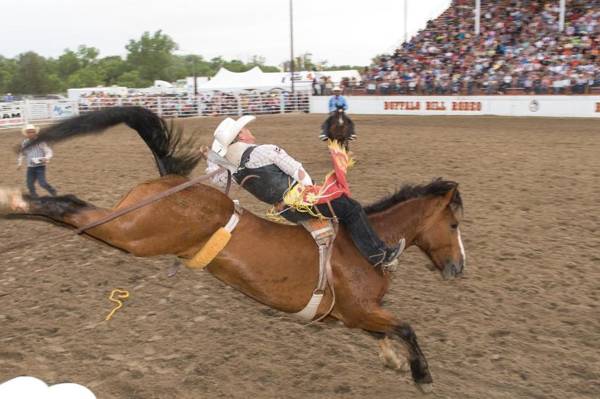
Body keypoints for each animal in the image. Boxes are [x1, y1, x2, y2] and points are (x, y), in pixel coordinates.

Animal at [2, 107, 466, 390]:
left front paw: (396, 361)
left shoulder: (352, 315)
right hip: (132, 230)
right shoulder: (360, 309)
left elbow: (388, 332)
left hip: (122, 231)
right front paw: (421, 373)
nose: (459, 268)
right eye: (454, 224)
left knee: (72, 213)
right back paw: (16, 199)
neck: (363, 244)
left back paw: (15, 208)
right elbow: (406, 327)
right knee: (71, 206)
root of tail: (171, 181)